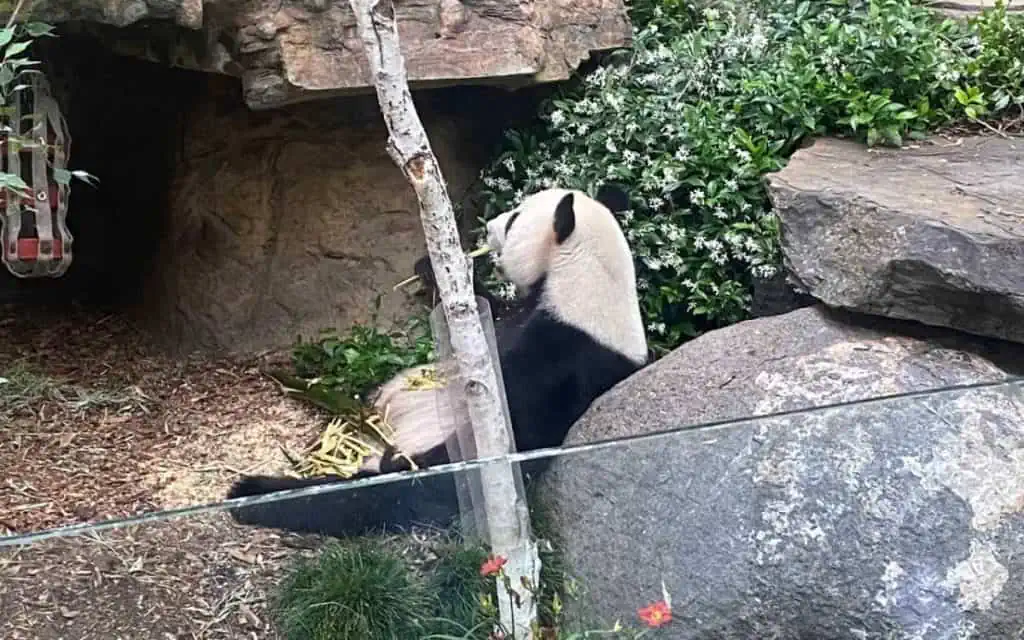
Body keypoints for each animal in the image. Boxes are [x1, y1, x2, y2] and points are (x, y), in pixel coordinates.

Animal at [225, 184, 648, 537]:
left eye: (515, 218)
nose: (487, 226)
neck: (584, 280)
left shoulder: (561, 359)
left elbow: (506, 432)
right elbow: (480, 315)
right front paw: (432, 267)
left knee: (377, 497)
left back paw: (253, 492)